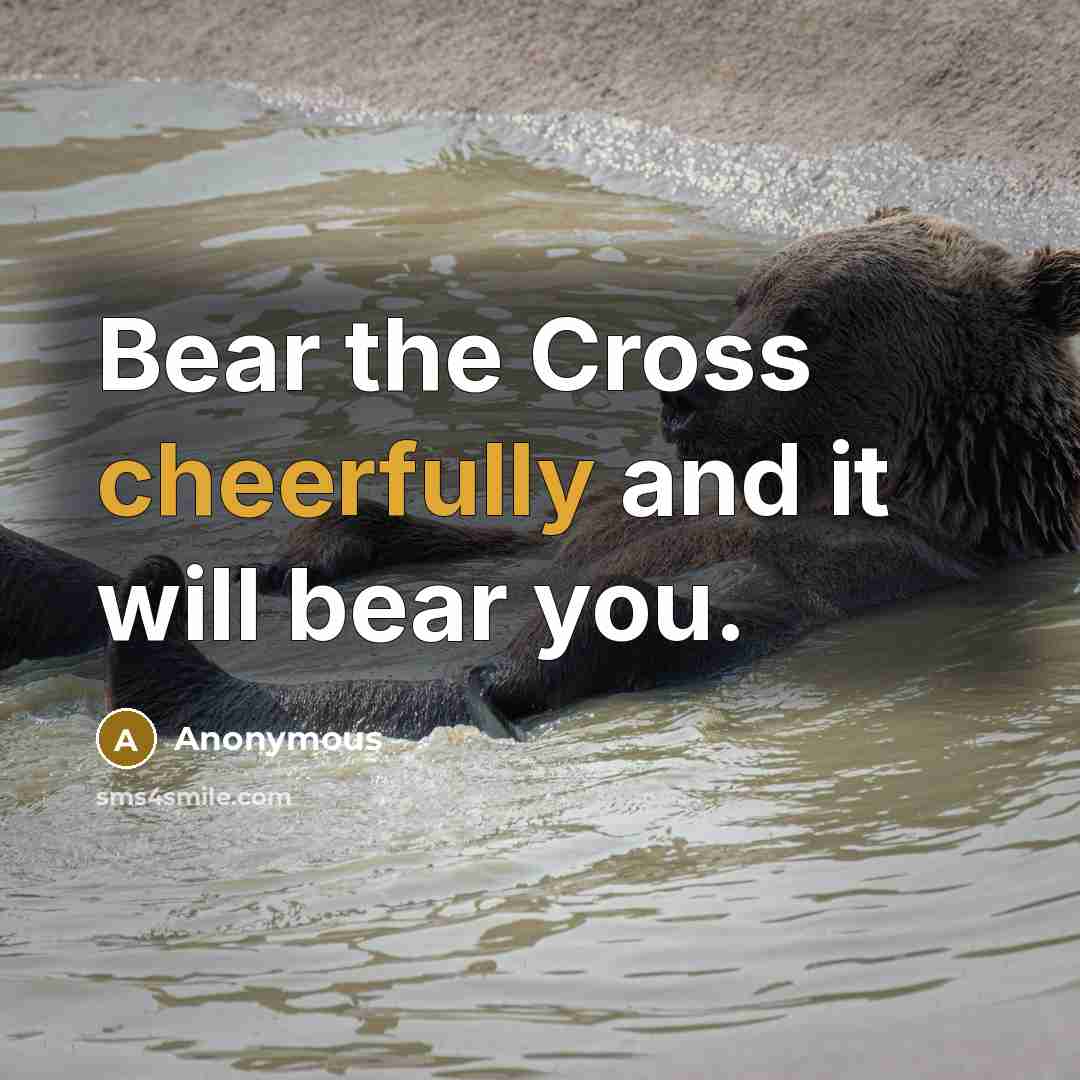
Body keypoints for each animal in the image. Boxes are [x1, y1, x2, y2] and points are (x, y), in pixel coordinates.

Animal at [9, 209, 1080, 741]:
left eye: (806, 321)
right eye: (745, 294)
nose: (682, 393)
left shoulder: (874, 560)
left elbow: (683, 603)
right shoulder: (610, 513)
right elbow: (495, 532)